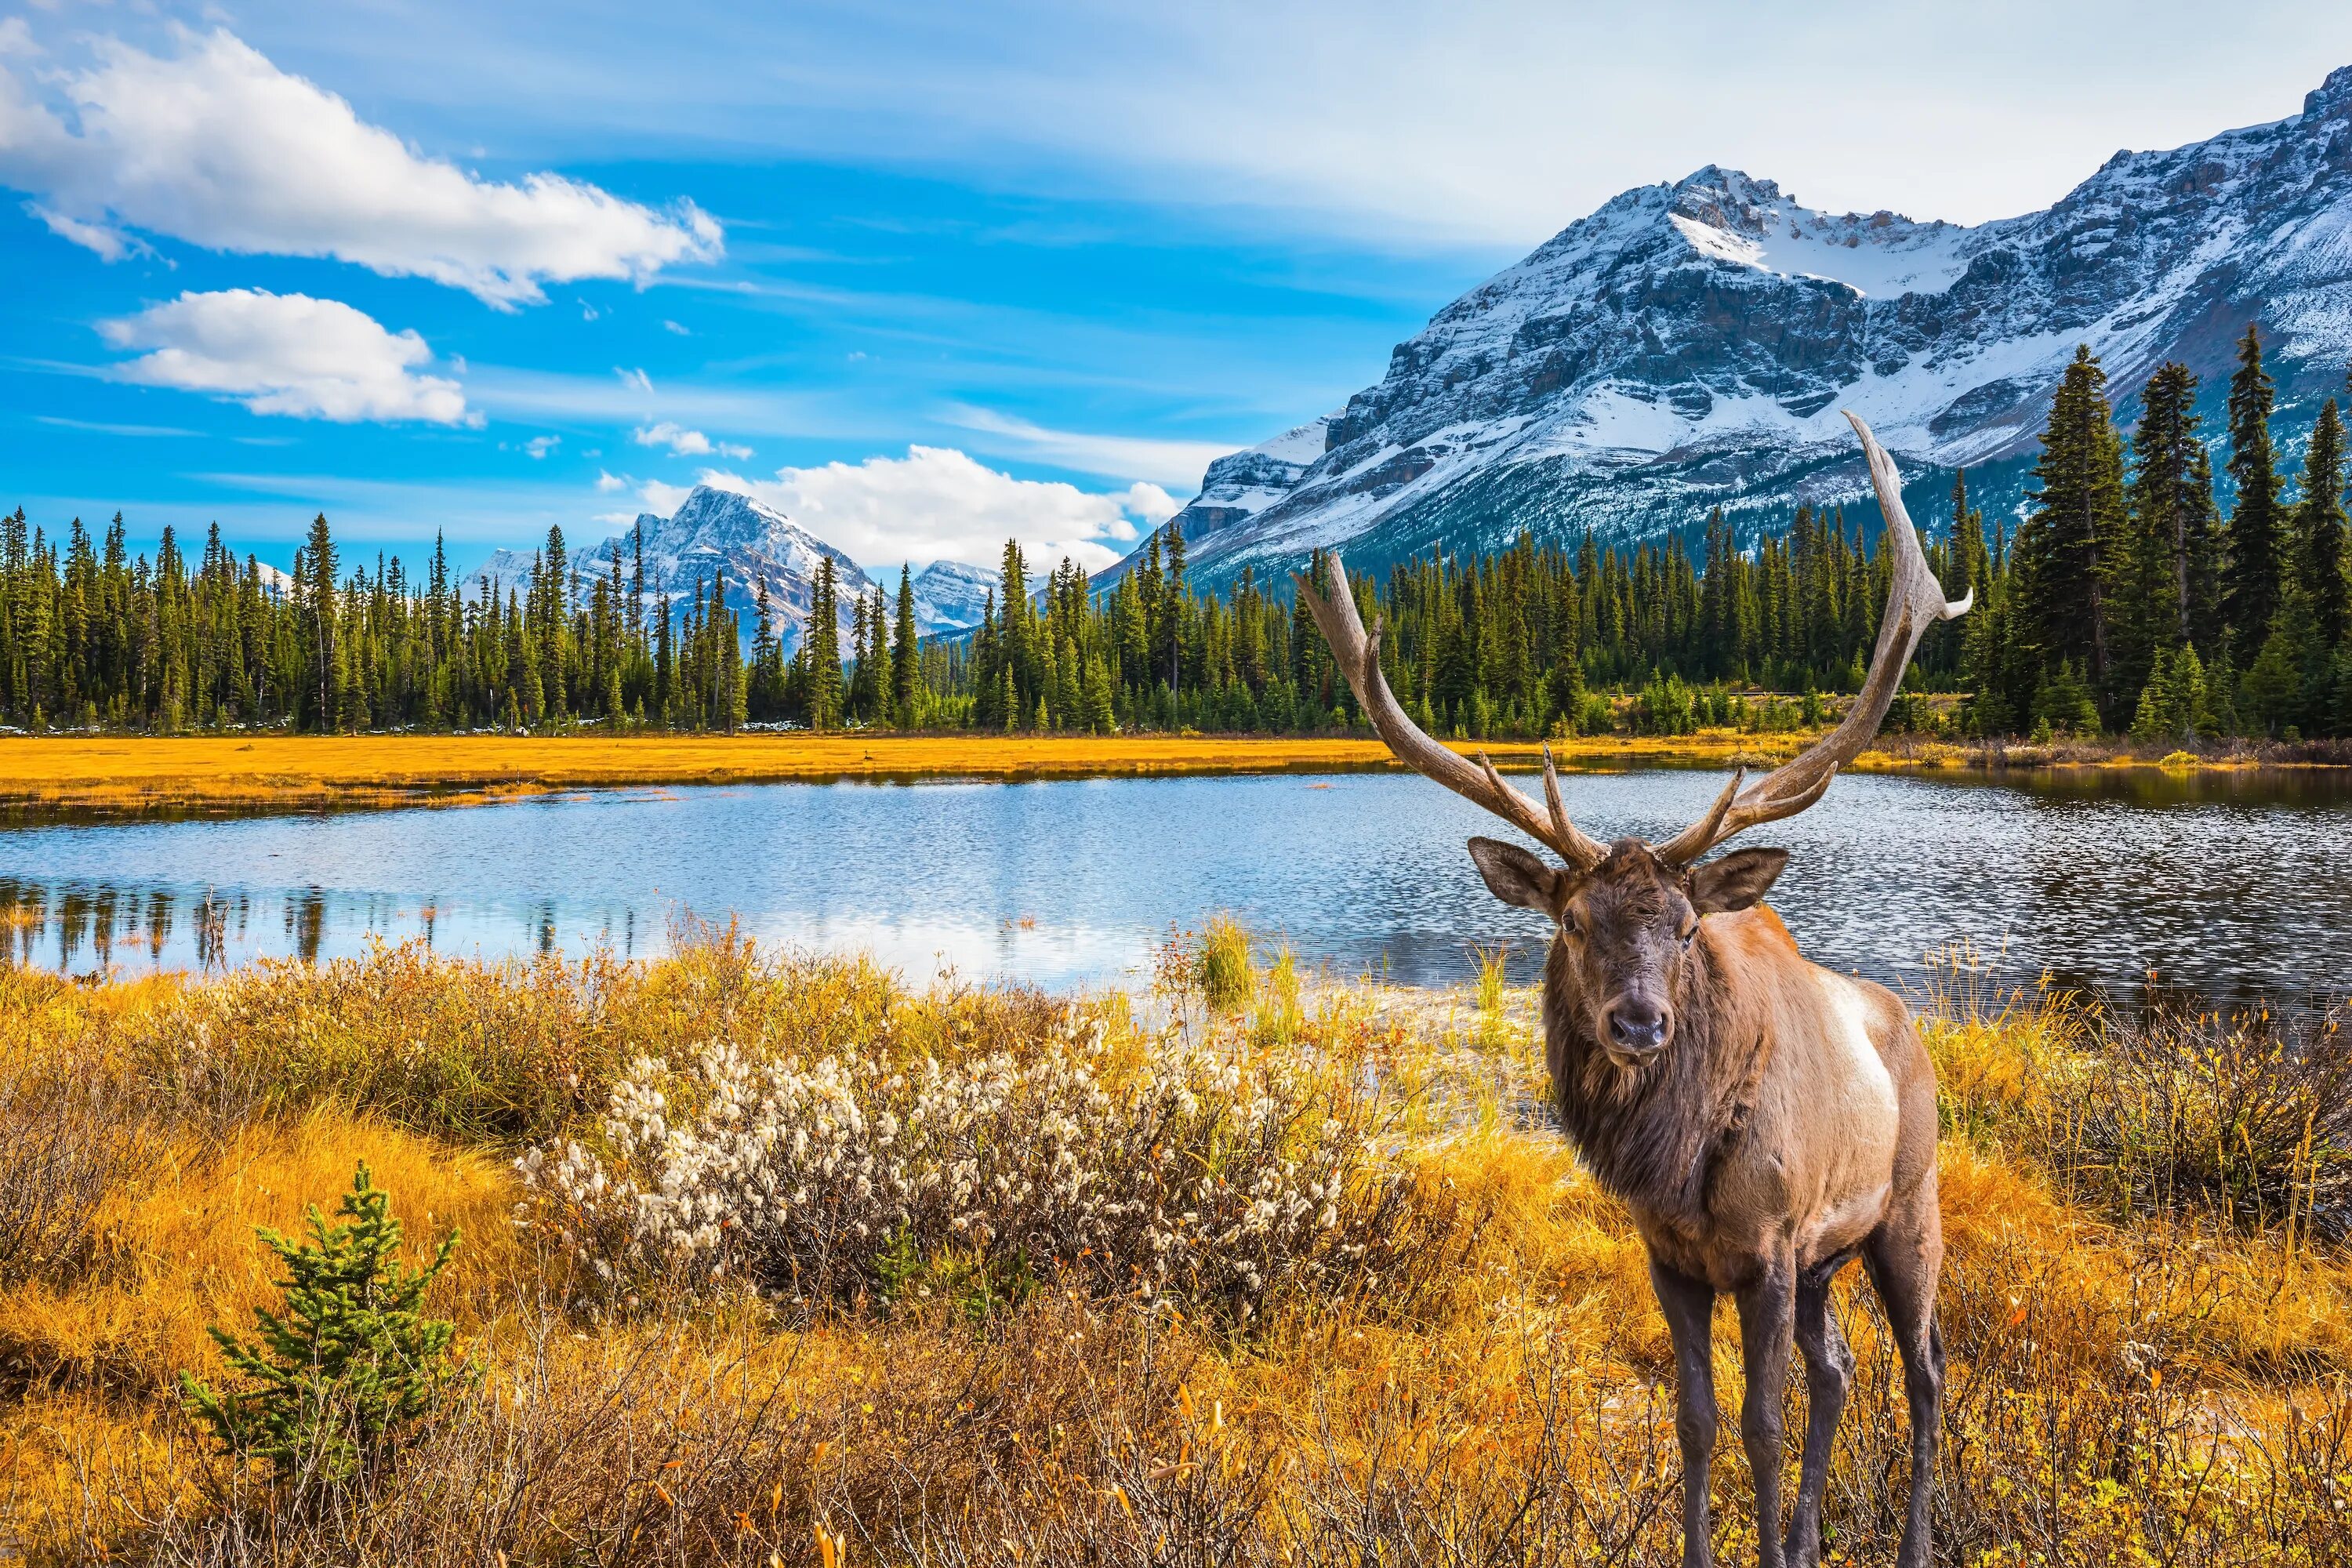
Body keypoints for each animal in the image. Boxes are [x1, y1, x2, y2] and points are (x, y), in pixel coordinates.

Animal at [1308, 413, 1966, 1568]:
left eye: (1686, 925)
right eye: (1572, 922)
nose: (1639, 1019)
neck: (1682, 1163)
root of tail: (1908, 1028)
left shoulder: (1772, 1245)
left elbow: (1759, 1423)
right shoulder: (1674, 1257)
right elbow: (1696, 1421)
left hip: (1905, 1209)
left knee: (1927, 1374)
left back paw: (1913, 1543)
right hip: (1832, 1260)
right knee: (1842, 1372)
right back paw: (1812, 1535)